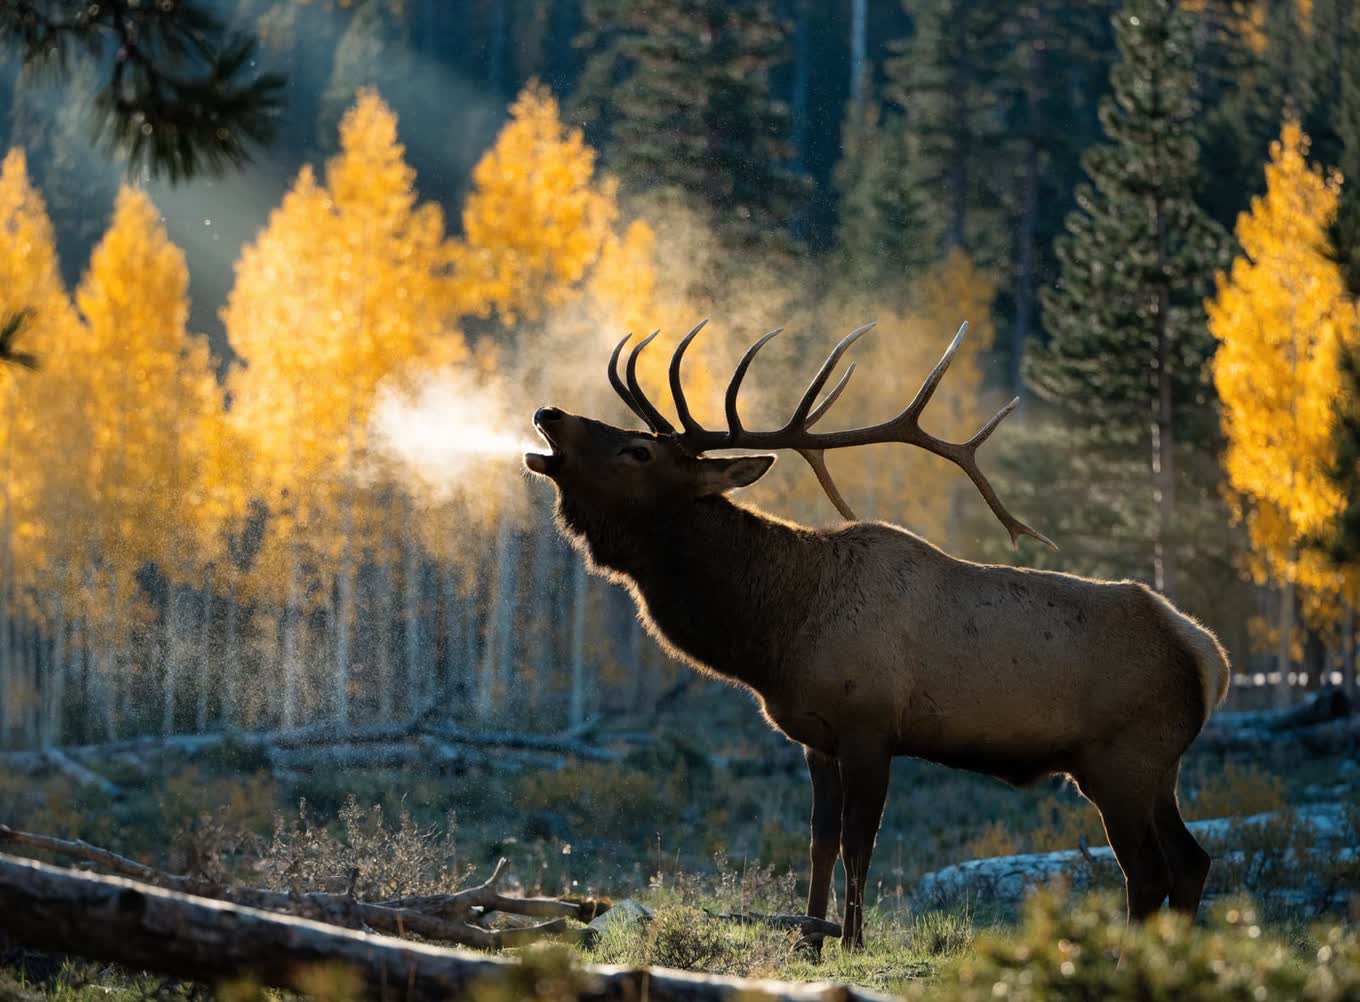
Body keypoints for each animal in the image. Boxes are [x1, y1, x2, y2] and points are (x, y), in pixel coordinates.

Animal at [523, 320, 1231, 950]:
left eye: (638, 451)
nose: (549, 413)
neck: (778, 630)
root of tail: (1207, 656)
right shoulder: (816, 737)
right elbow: (819, 840)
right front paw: (809, 937)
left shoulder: (870, 725)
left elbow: (859, 841)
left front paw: (852, 941)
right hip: (1158, 766)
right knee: (1193, 861)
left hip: (1123, 760)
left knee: (1148, 873)